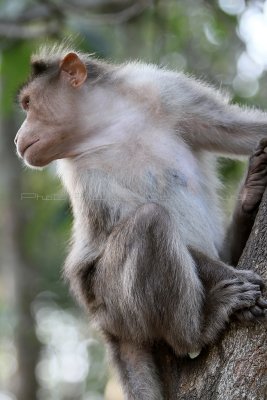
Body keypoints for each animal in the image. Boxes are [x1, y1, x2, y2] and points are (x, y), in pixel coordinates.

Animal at [15, 45, 267, 400]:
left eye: (28, 104)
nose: (17, 137)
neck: (109, 123)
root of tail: (103, 323)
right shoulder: (84, 173)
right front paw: (230, 279)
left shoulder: (165, 89)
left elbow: (240, 128)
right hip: (113, 302)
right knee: (151, 221)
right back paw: (198, 329)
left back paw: (250, 195)